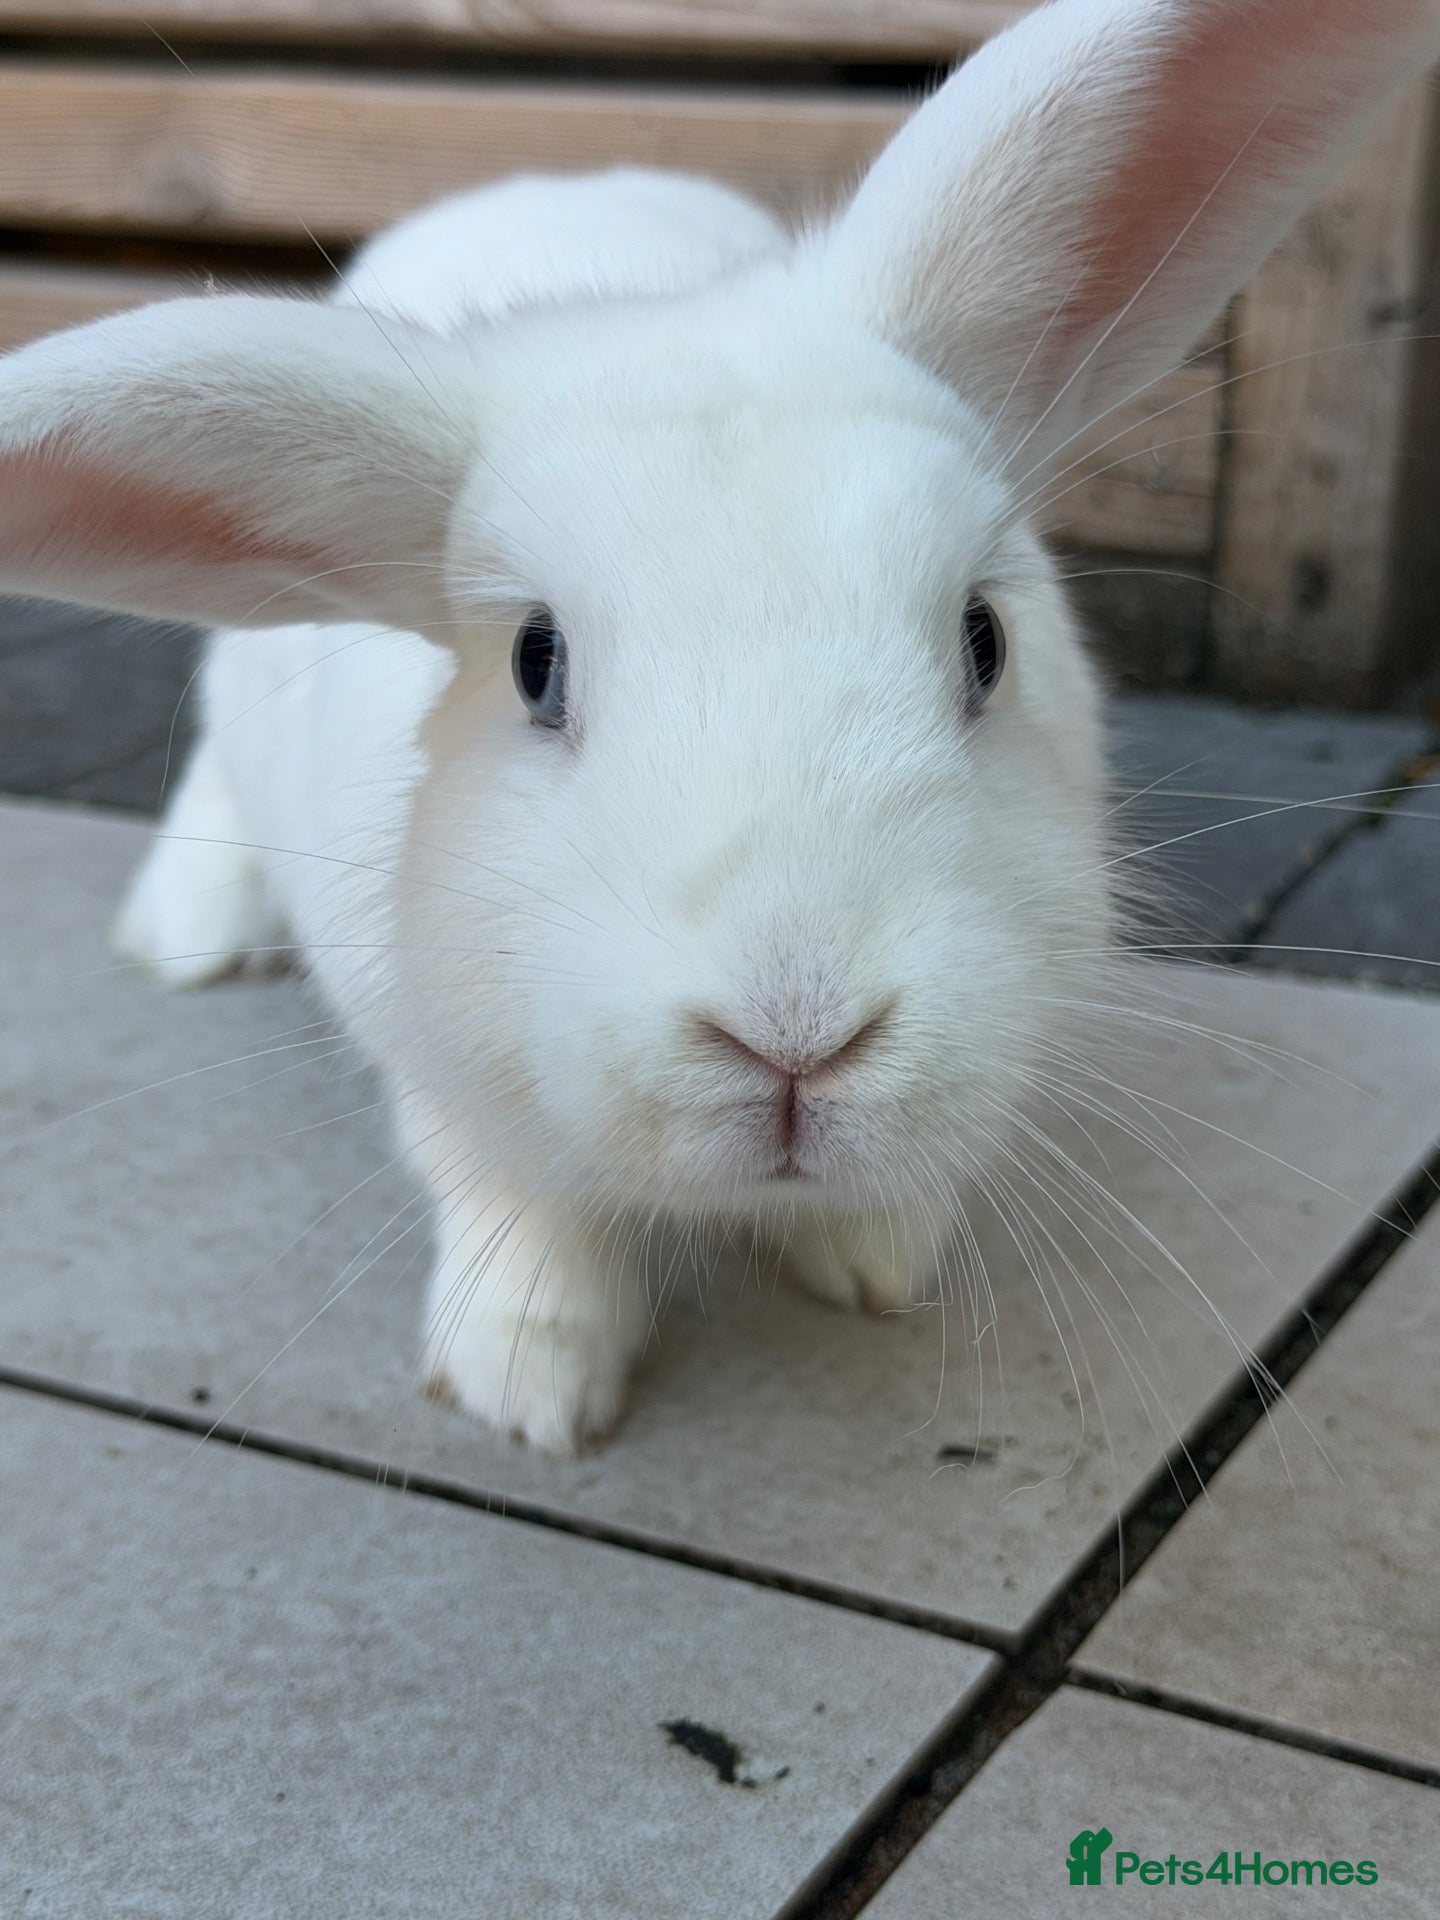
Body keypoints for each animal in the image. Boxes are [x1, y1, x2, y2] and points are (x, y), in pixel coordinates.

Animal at [1, 0, 1436, 1451]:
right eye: (535, 664)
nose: (799, 1037)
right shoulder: (430, 1054)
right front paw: (533, 1383)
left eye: (985, 639)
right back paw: (188, 931)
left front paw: (875, 1263)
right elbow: (511, 1193)